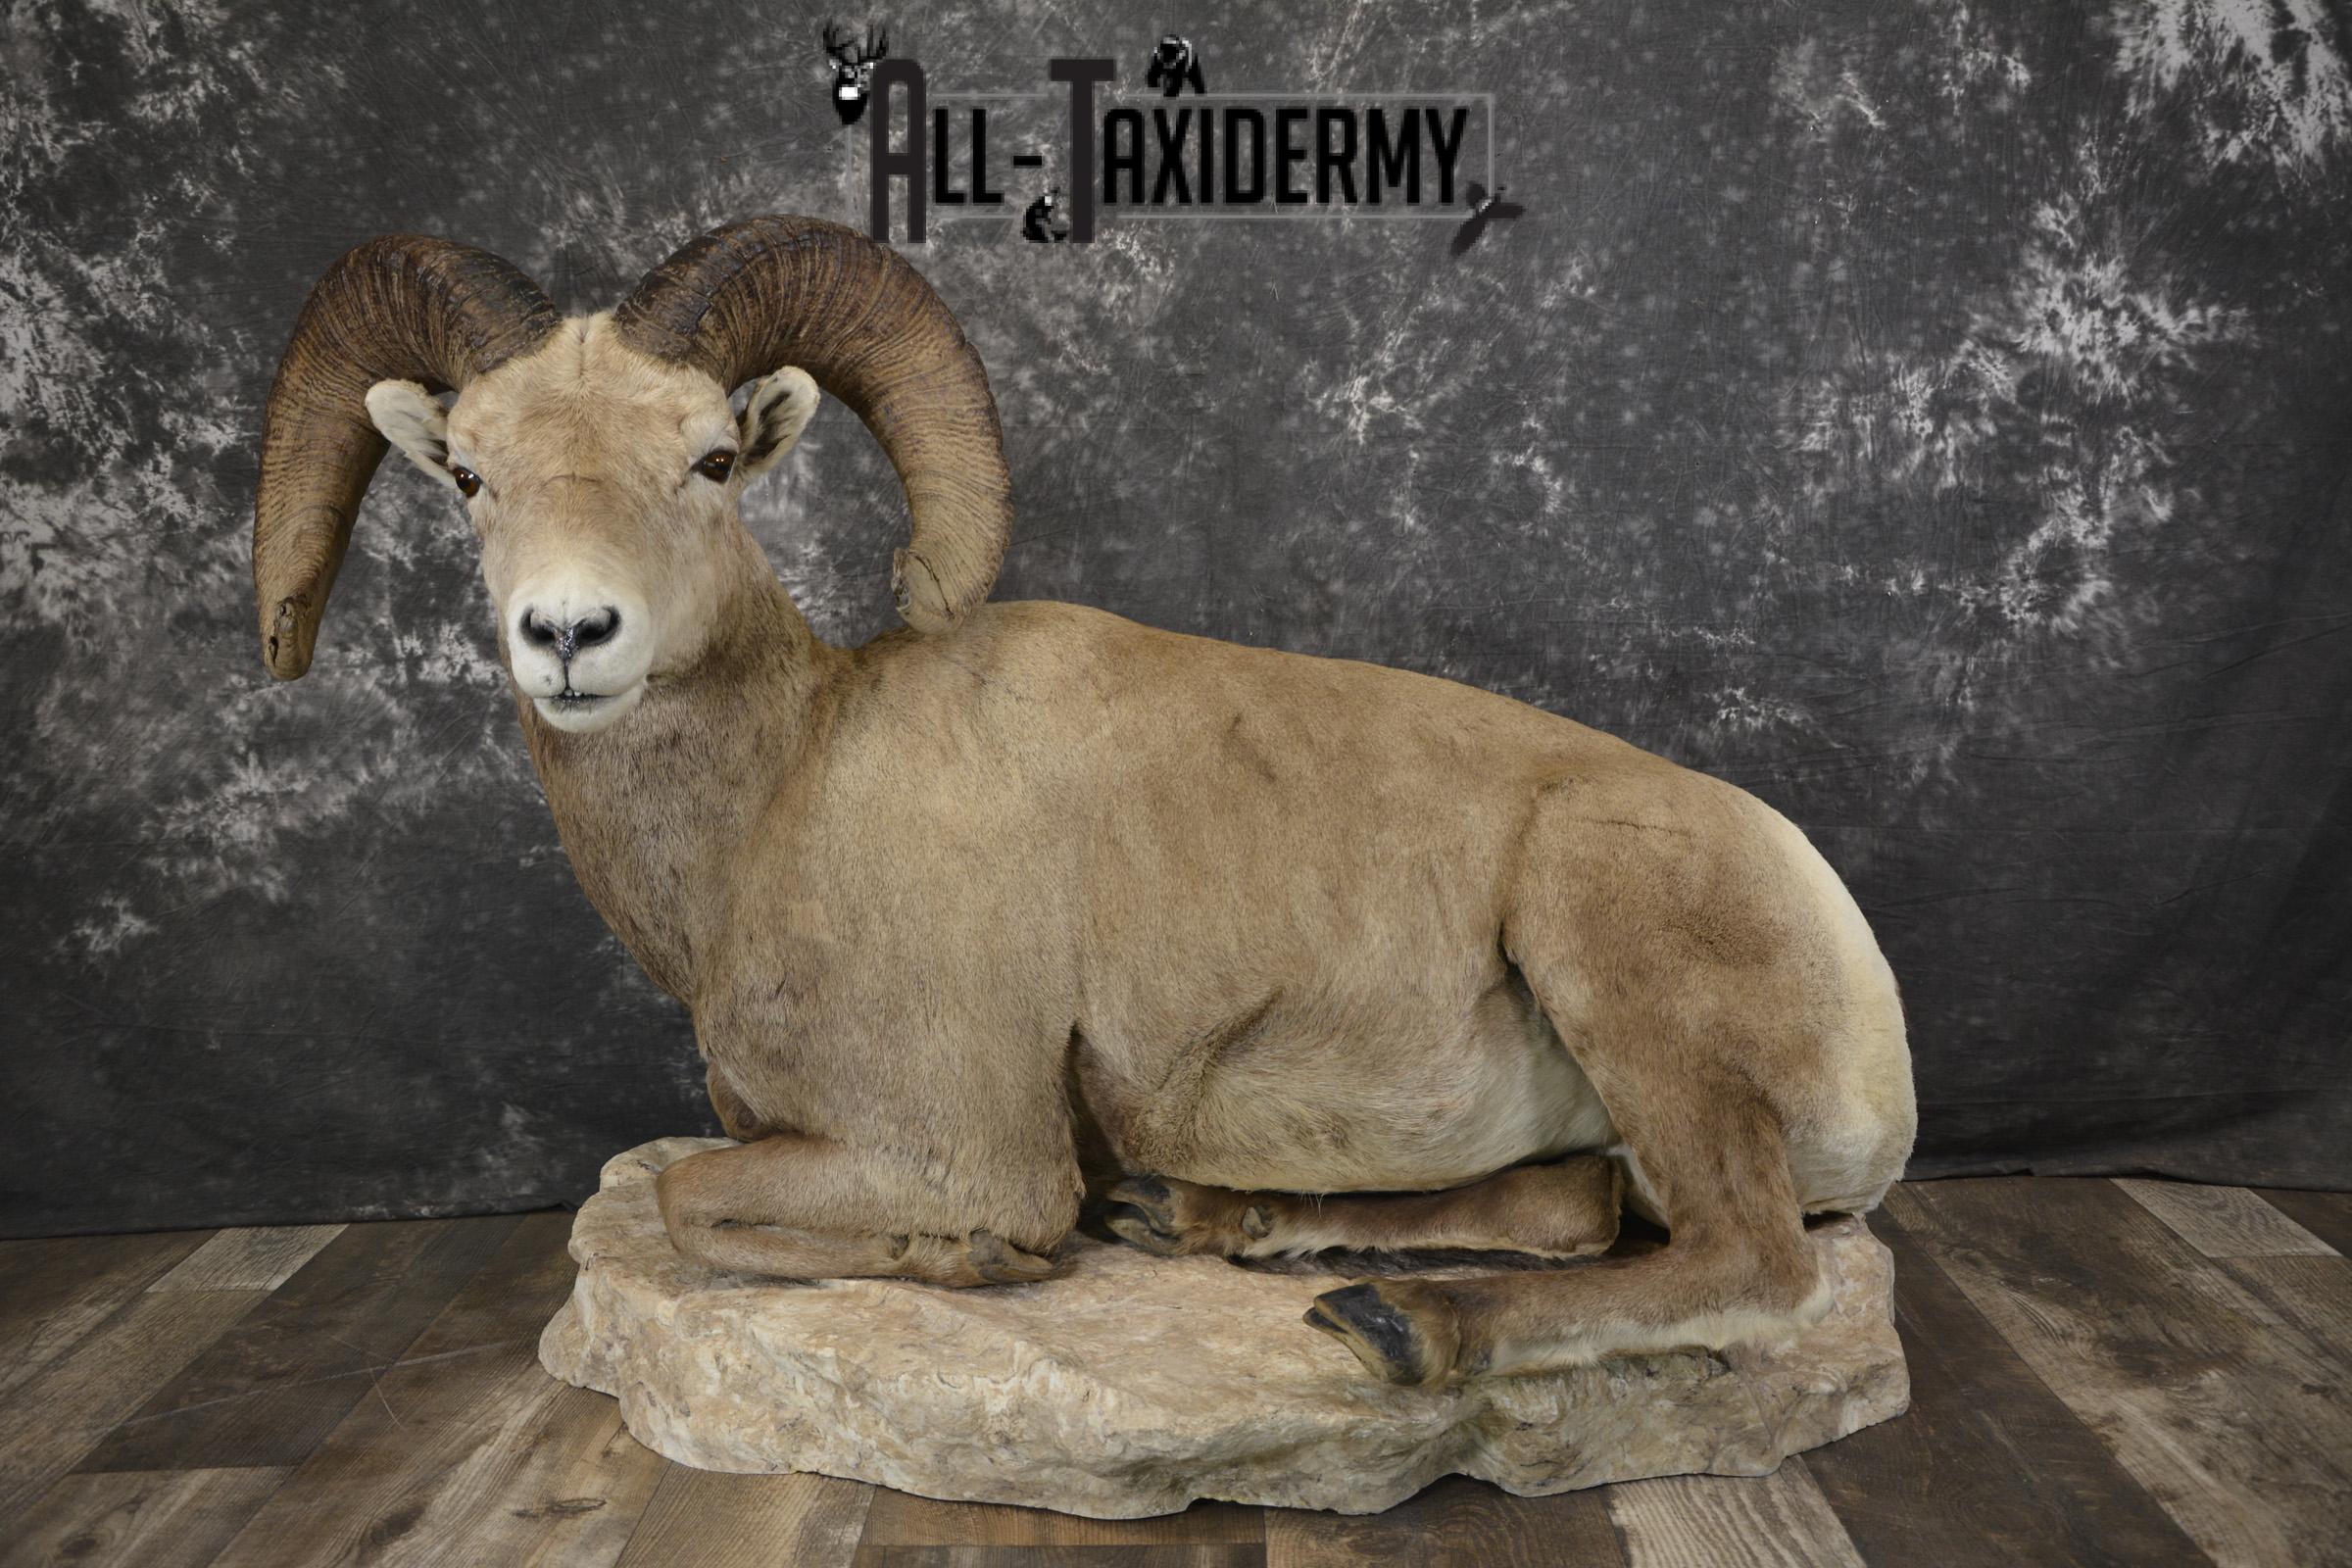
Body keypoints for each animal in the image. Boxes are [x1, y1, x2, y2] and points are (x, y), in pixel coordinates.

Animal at [249, 216, 1915, 1386]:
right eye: (471, 476)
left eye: (712, 459)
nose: (570, 636)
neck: (791, 794)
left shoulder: (954, 1139)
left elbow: (693, 1203)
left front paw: (982, 1261)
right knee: (1576, 1208)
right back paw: (1205, 1223)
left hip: (1614, 964)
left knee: (1752, 1265)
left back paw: (1398, 1327)